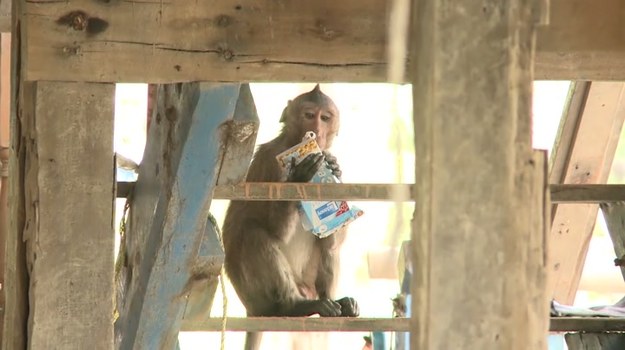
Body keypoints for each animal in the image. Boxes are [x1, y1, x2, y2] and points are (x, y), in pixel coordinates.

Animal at [222, 83, 358, 348]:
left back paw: (338, 302)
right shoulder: (272, 163)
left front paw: (335, 169)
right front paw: (300, 176)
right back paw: (293, 306)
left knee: (328, 245)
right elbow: (275, 232)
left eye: (325, 118)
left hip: (307, 283)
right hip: (256, 296)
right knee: (253, 233)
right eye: (309, 115)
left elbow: (334, 232)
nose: (316, 131)